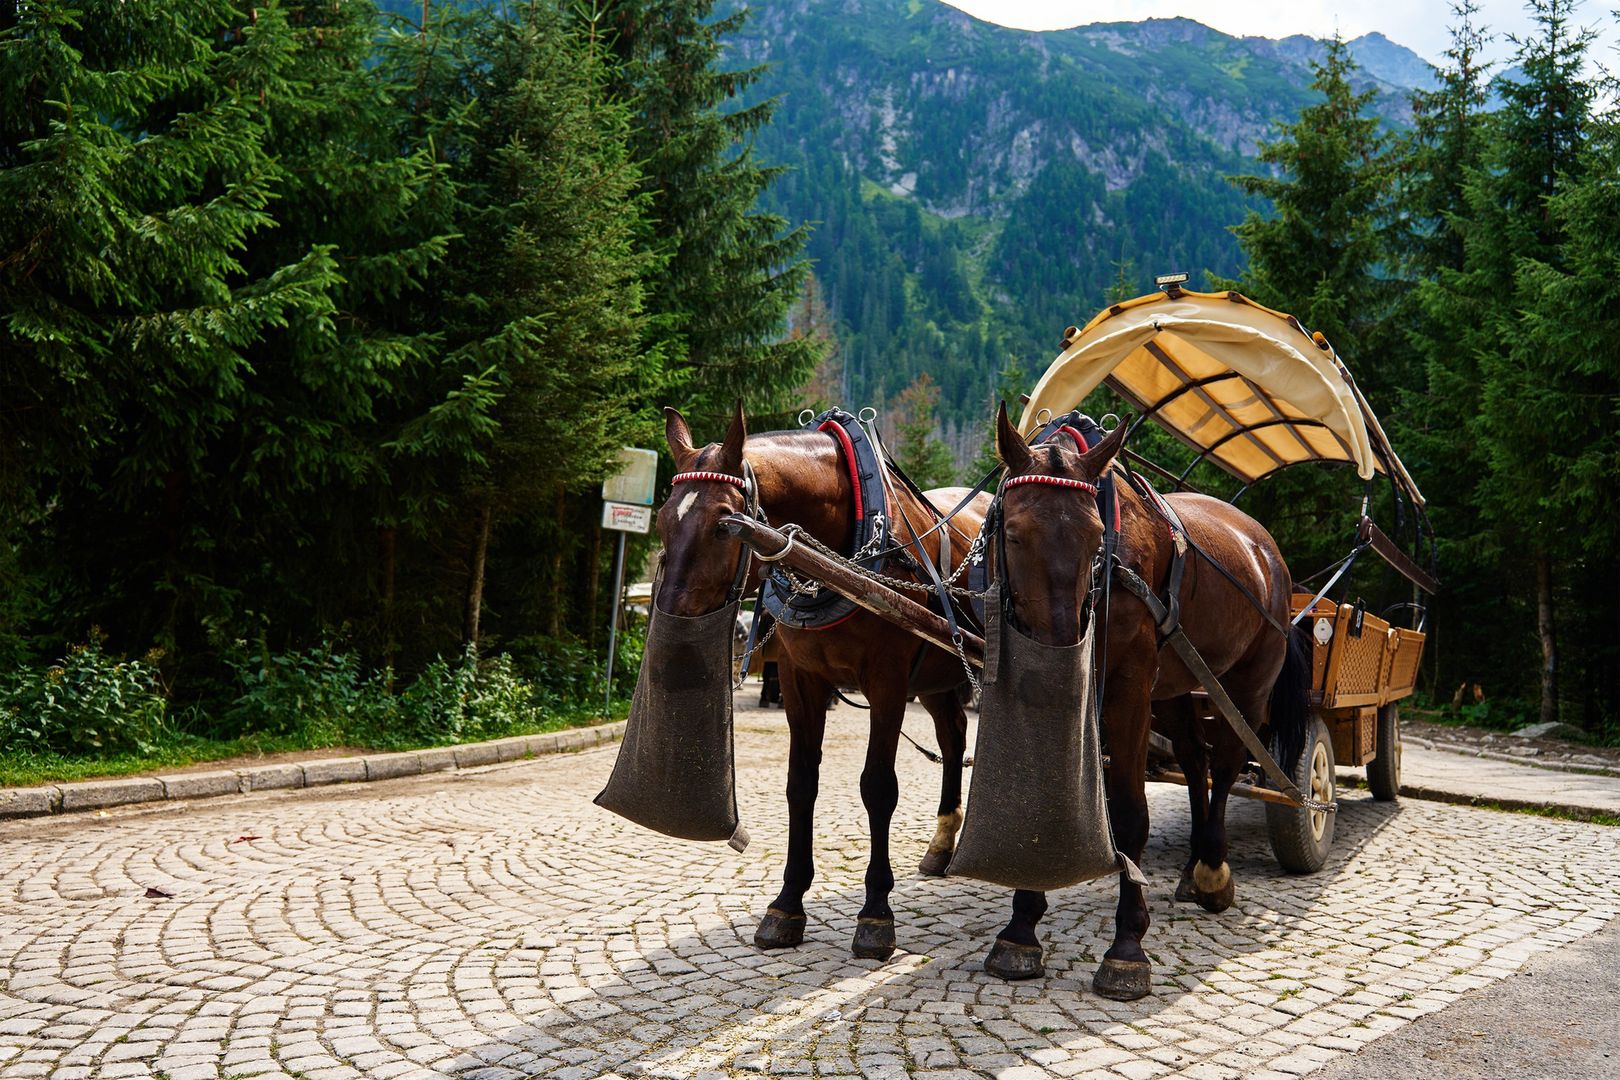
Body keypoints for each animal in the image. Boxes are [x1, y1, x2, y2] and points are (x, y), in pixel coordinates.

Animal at [651, 403, 991, 965]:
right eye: (662, 520)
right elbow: (800, 785)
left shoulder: (888, 683)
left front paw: (876, 913)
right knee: (953, 738)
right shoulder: (801, 680)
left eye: (724, 526)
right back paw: (942, 845)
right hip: (938, 679)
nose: (674, 633)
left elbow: (878, 788)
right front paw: (787, 904)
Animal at [984, 408, 1315, 1003]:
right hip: (1178, 687)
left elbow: (1131, 812)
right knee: (1195, 761)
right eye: (1013, 533)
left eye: (1096, 537)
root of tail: (1264, 547)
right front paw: (1021, 927)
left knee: (1226, 765)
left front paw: (1127, 948)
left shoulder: (1130, 685)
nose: (1061, 650)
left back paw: (1212, 869)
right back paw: (1194, 864)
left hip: (1245, 685)